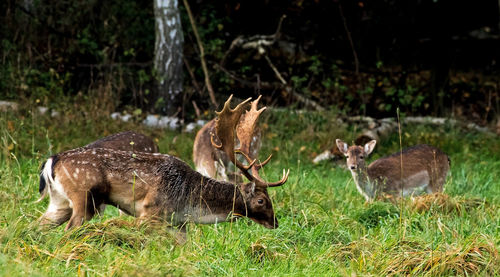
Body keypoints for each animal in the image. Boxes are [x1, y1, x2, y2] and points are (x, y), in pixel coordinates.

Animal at [38, 96, 290, 230]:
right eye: (261, 200)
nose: (276, 222)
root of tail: (52, 160)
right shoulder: (150, 211)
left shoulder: (175, 223)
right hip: (84, 196)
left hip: (59, 202)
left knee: (39, 225)